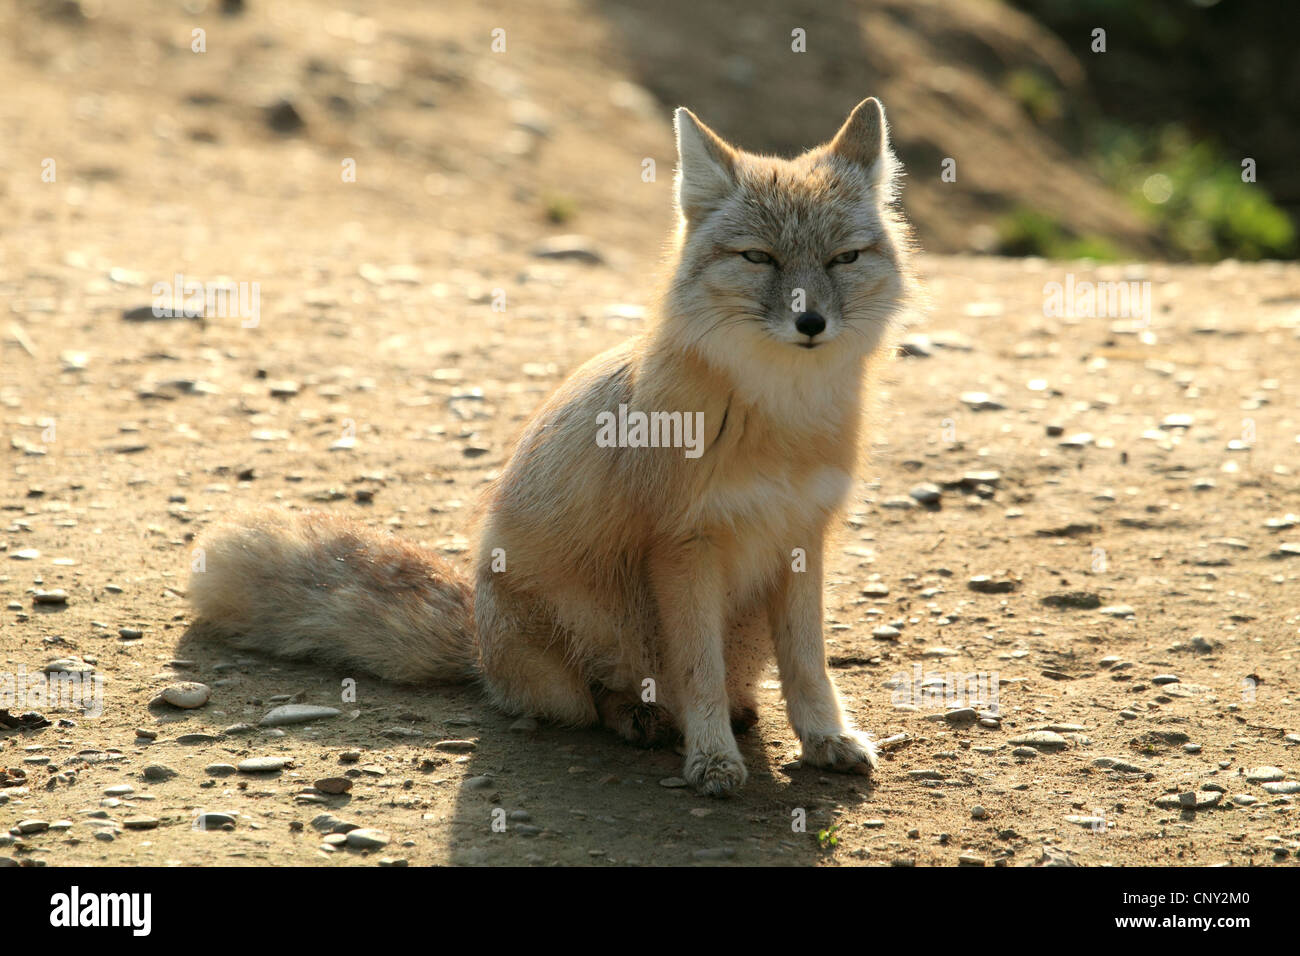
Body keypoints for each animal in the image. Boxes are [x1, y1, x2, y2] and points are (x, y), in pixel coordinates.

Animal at [188, 98, 915, 801]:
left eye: (844, 259)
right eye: (759, 258)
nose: (810, 322)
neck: (779, 423)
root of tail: (480, 646)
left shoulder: (801, 537)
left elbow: (808, 664)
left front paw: (825, 738)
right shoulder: (684, 546)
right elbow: (697, 671)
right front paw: (710, 760)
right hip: (585, 635)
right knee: (595, 699)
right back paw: (643, 717)